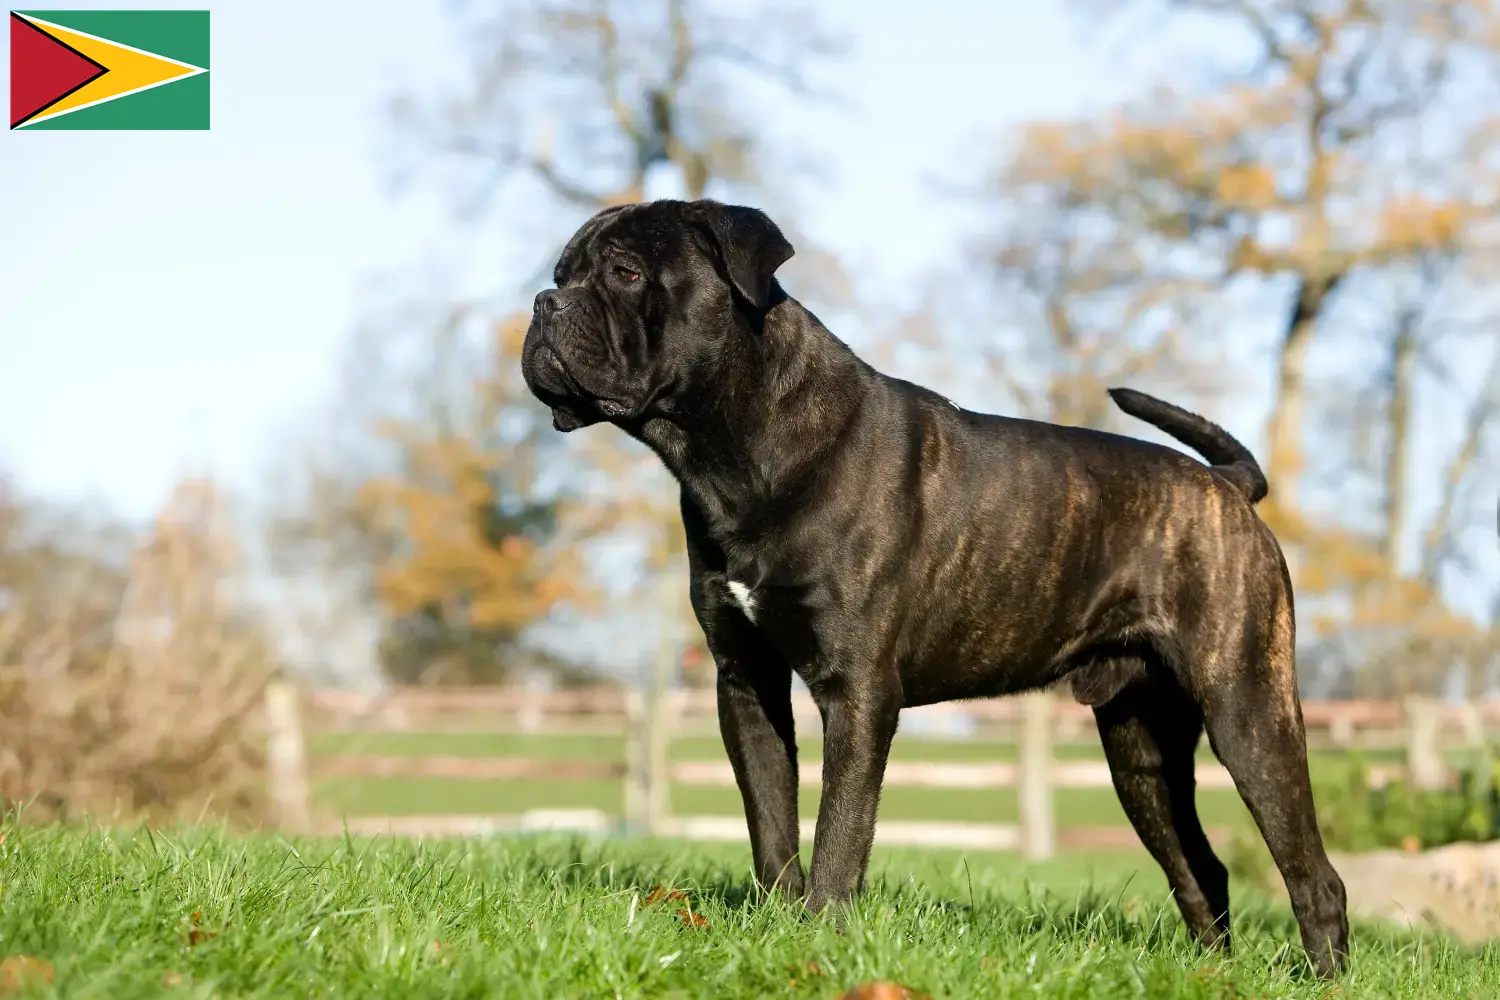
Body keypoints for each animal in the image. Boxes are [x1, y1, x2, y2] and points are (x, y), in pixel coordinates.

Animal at [522, 197, 1356, 977]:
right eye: (562, 271)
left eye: (626, 273)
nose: (542, 303)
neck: (735, 449)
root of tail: (1228, 486)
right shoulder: (746, 681)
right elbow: (771, 823)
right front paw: (779, 924)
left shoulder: (857, 691)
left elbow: (839, 832)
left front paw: (822, 937)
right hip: (1140, 747)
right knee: (1200, 867)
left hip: (1247, 712)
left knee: (1314, 874)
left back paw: (1323, 978)